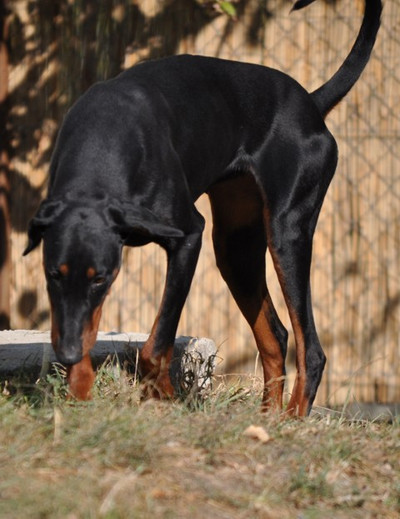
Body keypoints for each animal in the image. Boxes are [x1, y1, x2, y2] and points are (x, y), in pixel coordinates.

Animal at [24, 0, 382, 414]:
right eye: (53, 273)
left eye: (101, 278)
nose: (65, 353)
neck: (103, 148)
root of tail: (311, 102)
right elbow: (86, 326)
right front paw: (80, 391)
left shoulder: (187, 237)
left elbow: (157, 343)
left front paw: (163, 397)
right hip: (235, 250)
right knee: (276, 334)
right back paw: (269, 417)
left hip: (287, 233)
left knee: (313, 349)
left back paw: (293, 418)